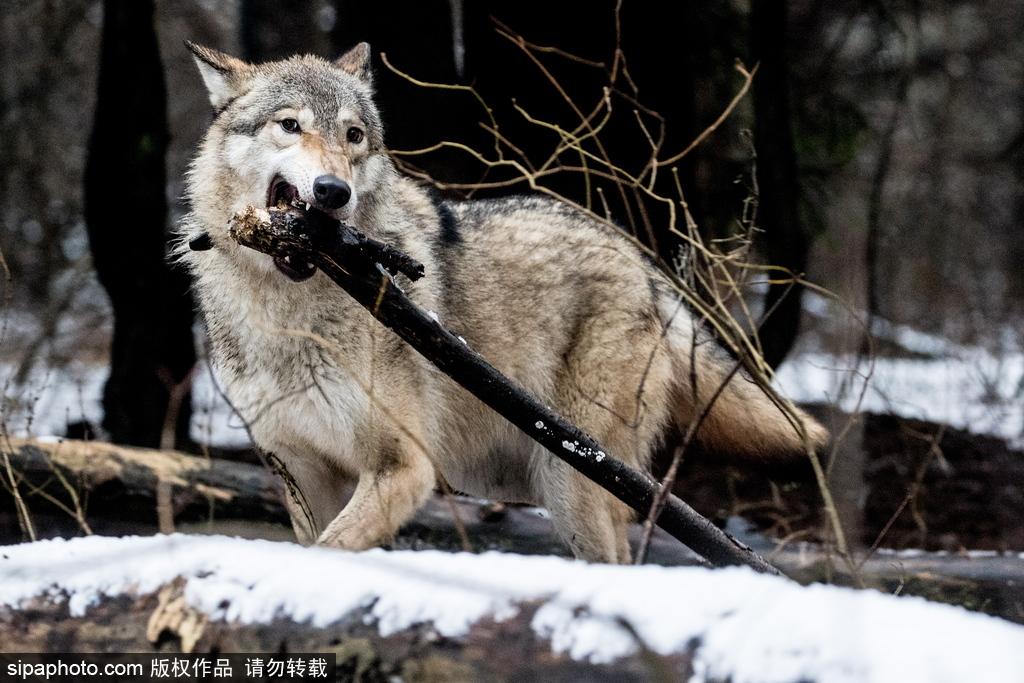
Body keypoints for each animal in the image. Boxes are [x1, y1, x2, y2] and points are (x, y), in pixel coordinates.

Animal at [178, 42, 831, 565]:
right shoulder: (302, 473)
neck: (285, 314)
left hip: (573, 483)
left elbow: (329, 553)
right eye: (290, 125)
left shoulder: (405, 467)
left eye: (354, 137)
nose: (333, 191)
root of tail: (641, 261)